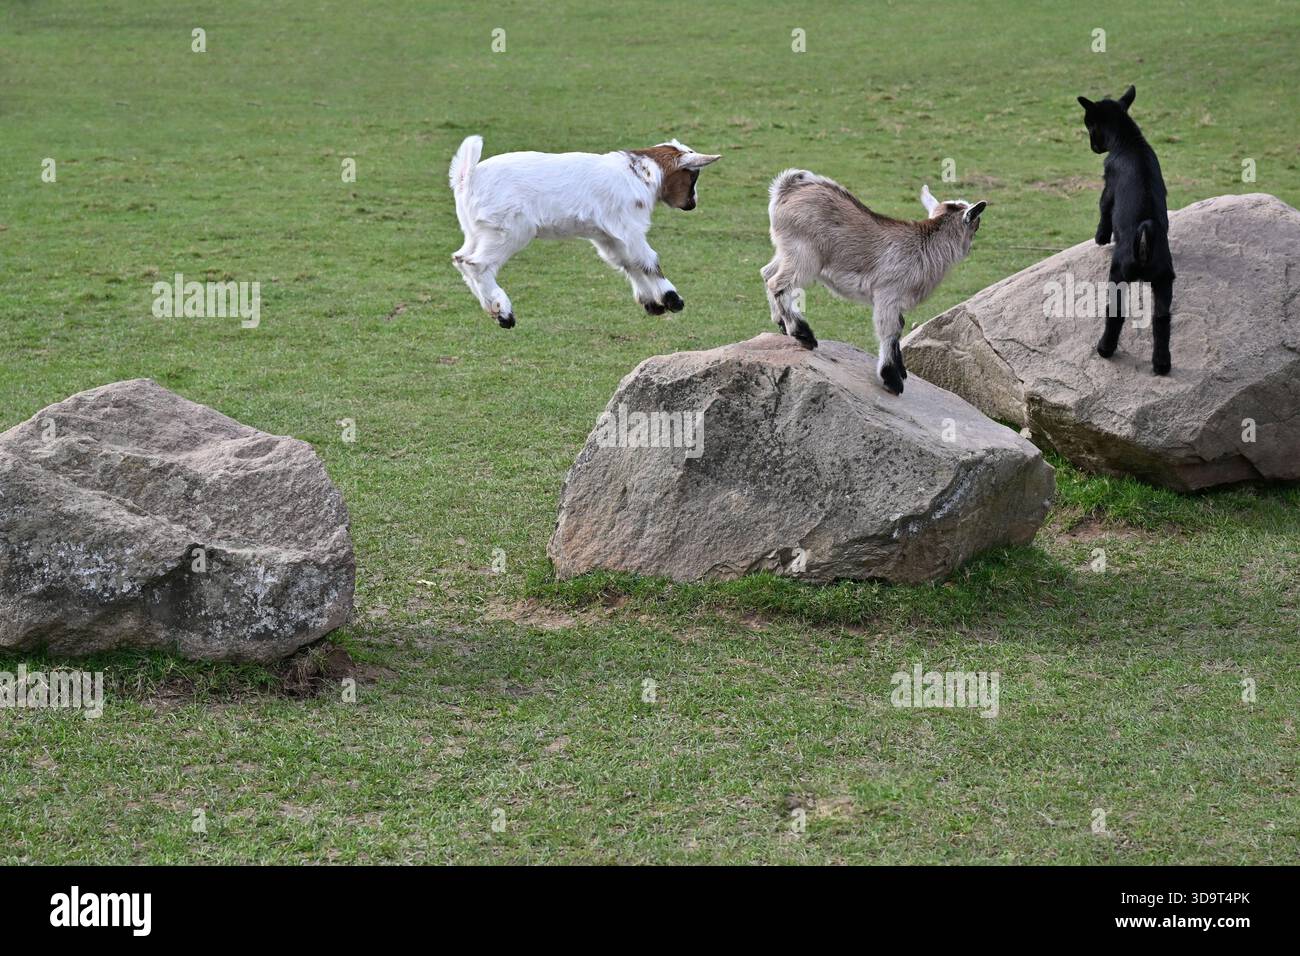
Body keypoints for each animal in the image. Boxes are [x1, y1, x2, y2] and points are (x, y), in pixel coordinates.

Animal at [449, 136, 720, 328]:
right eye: (692, 175)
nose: (692, 203)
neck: (641, 174)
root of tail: (467, 177)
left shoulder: (606, 235)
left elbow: (629, 263)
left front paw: (652, 304)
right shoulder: (629, 227)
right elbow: (648, 259)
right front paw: (672, 300)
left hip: (476, 231)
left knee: (461, 259)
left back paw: (493, 309)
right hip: (508, 231)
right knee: (477, 264)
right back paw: (504, 313)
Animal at [763, 171, 986, 395]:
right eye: (977, 224)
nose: (970, 248)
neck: (925, 245)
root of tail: (788, 188)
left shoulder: (895, 300)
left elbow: (900, 325)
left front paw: (901, 370)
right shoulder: (888, 294)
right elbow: (890, 329)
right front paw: (892, 378)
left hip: (786, 251)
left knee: (766, 273)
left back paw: (781, 322)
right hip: (804, 255)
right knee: (777, 283)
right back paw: (802, 334)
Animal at [1077, 85, 1175, 374]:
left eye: (1089, 125)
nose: (1094, 147)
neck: (1129, 141)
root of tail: (1145, 233)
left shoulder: (1108, 185)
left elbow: (1103, 210)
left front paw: (1100, 238)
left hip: (1118, 274)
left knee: (1116, 313)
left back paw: (1104, 350)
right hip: (1164, 280)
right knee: (1161, 320)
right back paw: (1161, 365)